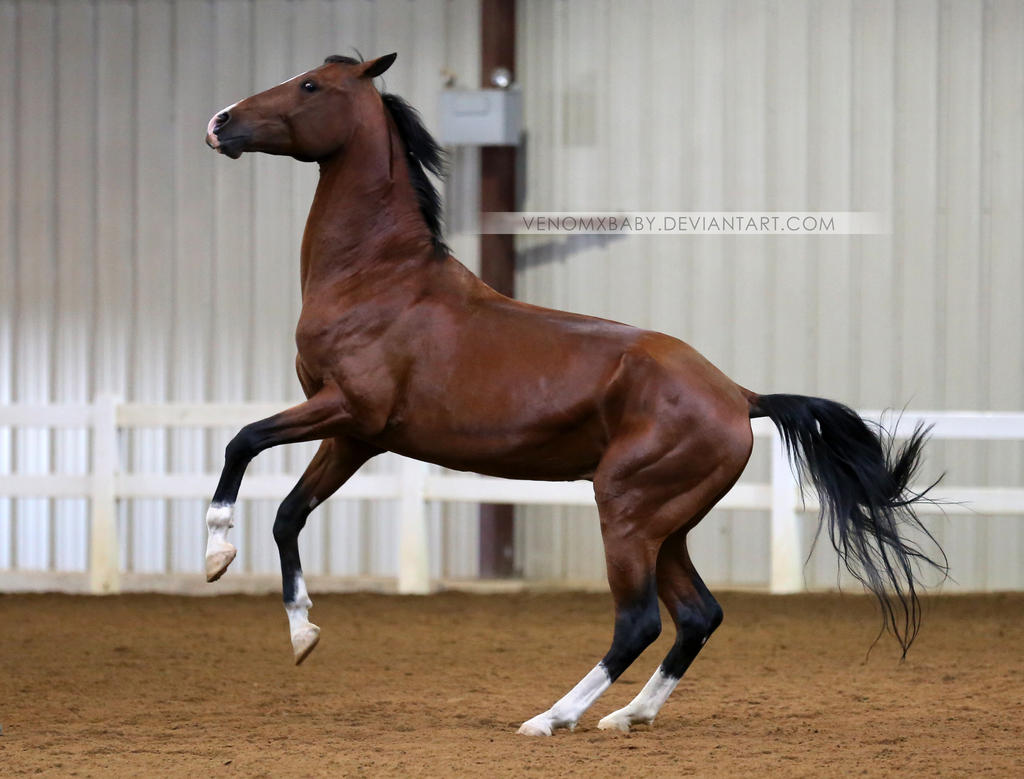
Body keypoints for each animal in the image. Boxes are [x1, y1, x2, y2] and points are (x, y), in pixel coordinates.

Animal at [205, 54, 942, 737]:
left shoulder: (347, 410)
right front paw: (302, 632)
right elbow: (288, 515)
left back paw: (553, 716)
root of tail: (738, 394)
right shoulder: (355, 436)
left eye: (309, 85)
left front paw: (216, 552)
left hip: (626, 514)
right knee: (697, 614)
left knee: (639, 621)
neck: (379, 279)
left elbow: (241, 440)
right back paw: (629, 715)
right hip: (666, 527)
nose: (220, 123)